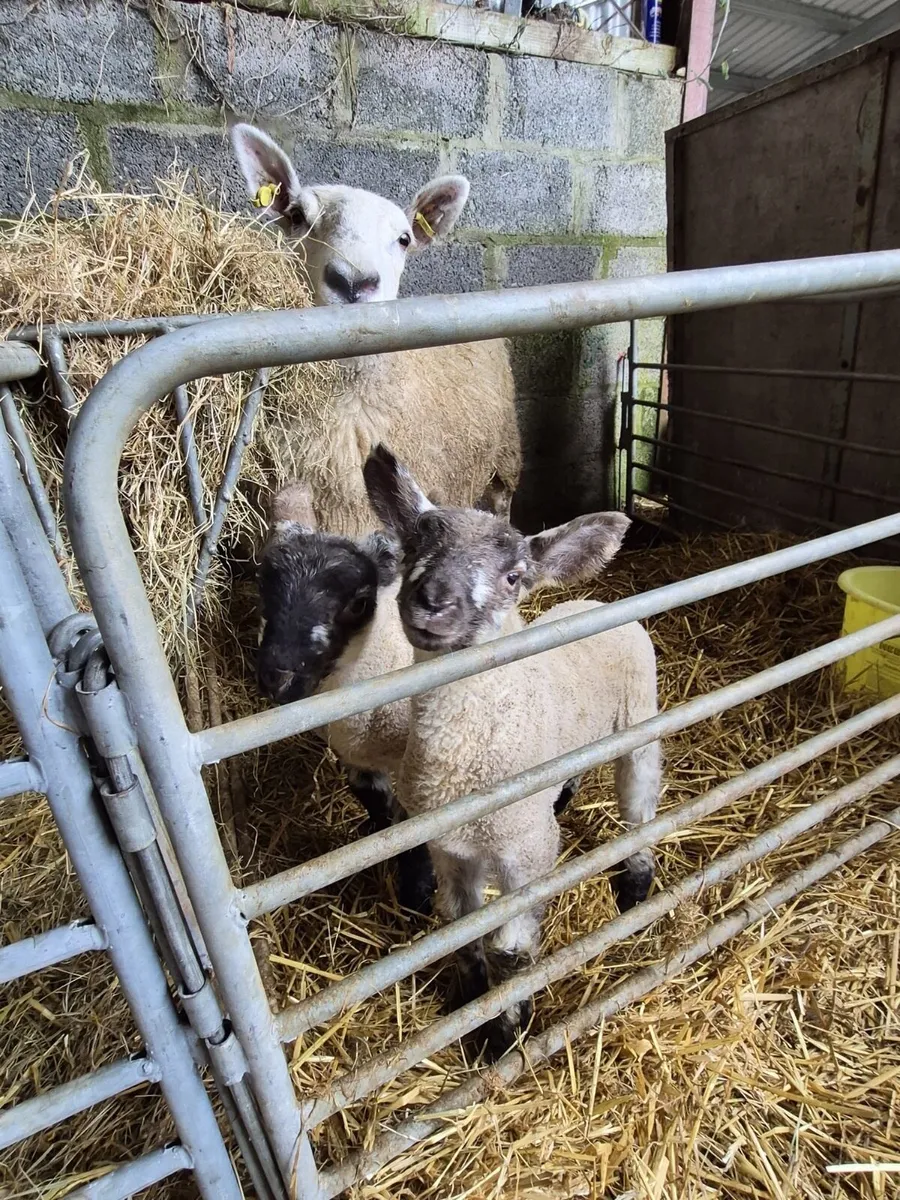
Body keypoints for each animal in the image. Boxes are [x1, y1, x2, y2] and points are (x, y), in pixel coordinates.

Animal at [256, 481, 435, 914]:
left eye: (359, 603)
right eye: (262, 584)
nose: (278, 678)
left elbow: (417, 829)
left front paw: (417, 896)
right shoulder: (354, 757)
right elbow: (375, 803)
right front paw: (375, 840)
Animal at [363, 445, 661, 1059]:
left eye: (513, 576)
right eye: (415, 549)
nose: (431, 602)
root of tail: (594, 597)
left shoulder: (527, 855)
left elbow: (512, 954)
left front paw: (506, 1034)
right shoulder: (450, 852)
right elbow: (461, 933)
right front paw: (472, 1001)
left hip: (639, 723)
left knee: (639, 807)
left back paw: (636, 888)